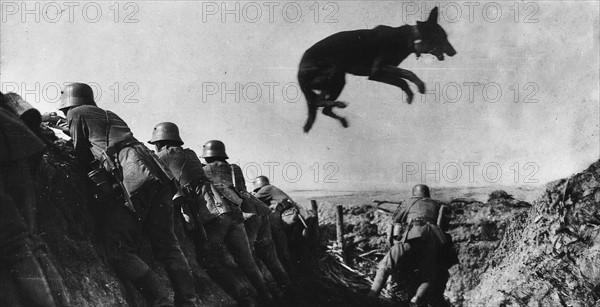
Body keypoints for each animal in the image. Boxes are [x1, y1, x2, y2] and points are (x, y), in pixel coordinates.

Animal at [298, 7, 458, 134]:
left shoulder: (384, 69)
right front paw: (416, 88)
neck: (410, 38)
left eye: (445, 37)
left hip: (337, 80)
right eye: (441, 38)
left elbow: (403, 76)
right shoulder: (376, 72)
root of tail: (299, 73)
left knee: (323, 107)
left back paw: (341, 118)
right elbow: (405, 75)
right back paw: (339, 104)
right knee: (318, 102)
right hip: (334, 73)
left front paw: (411, 91)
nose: (454, 52)